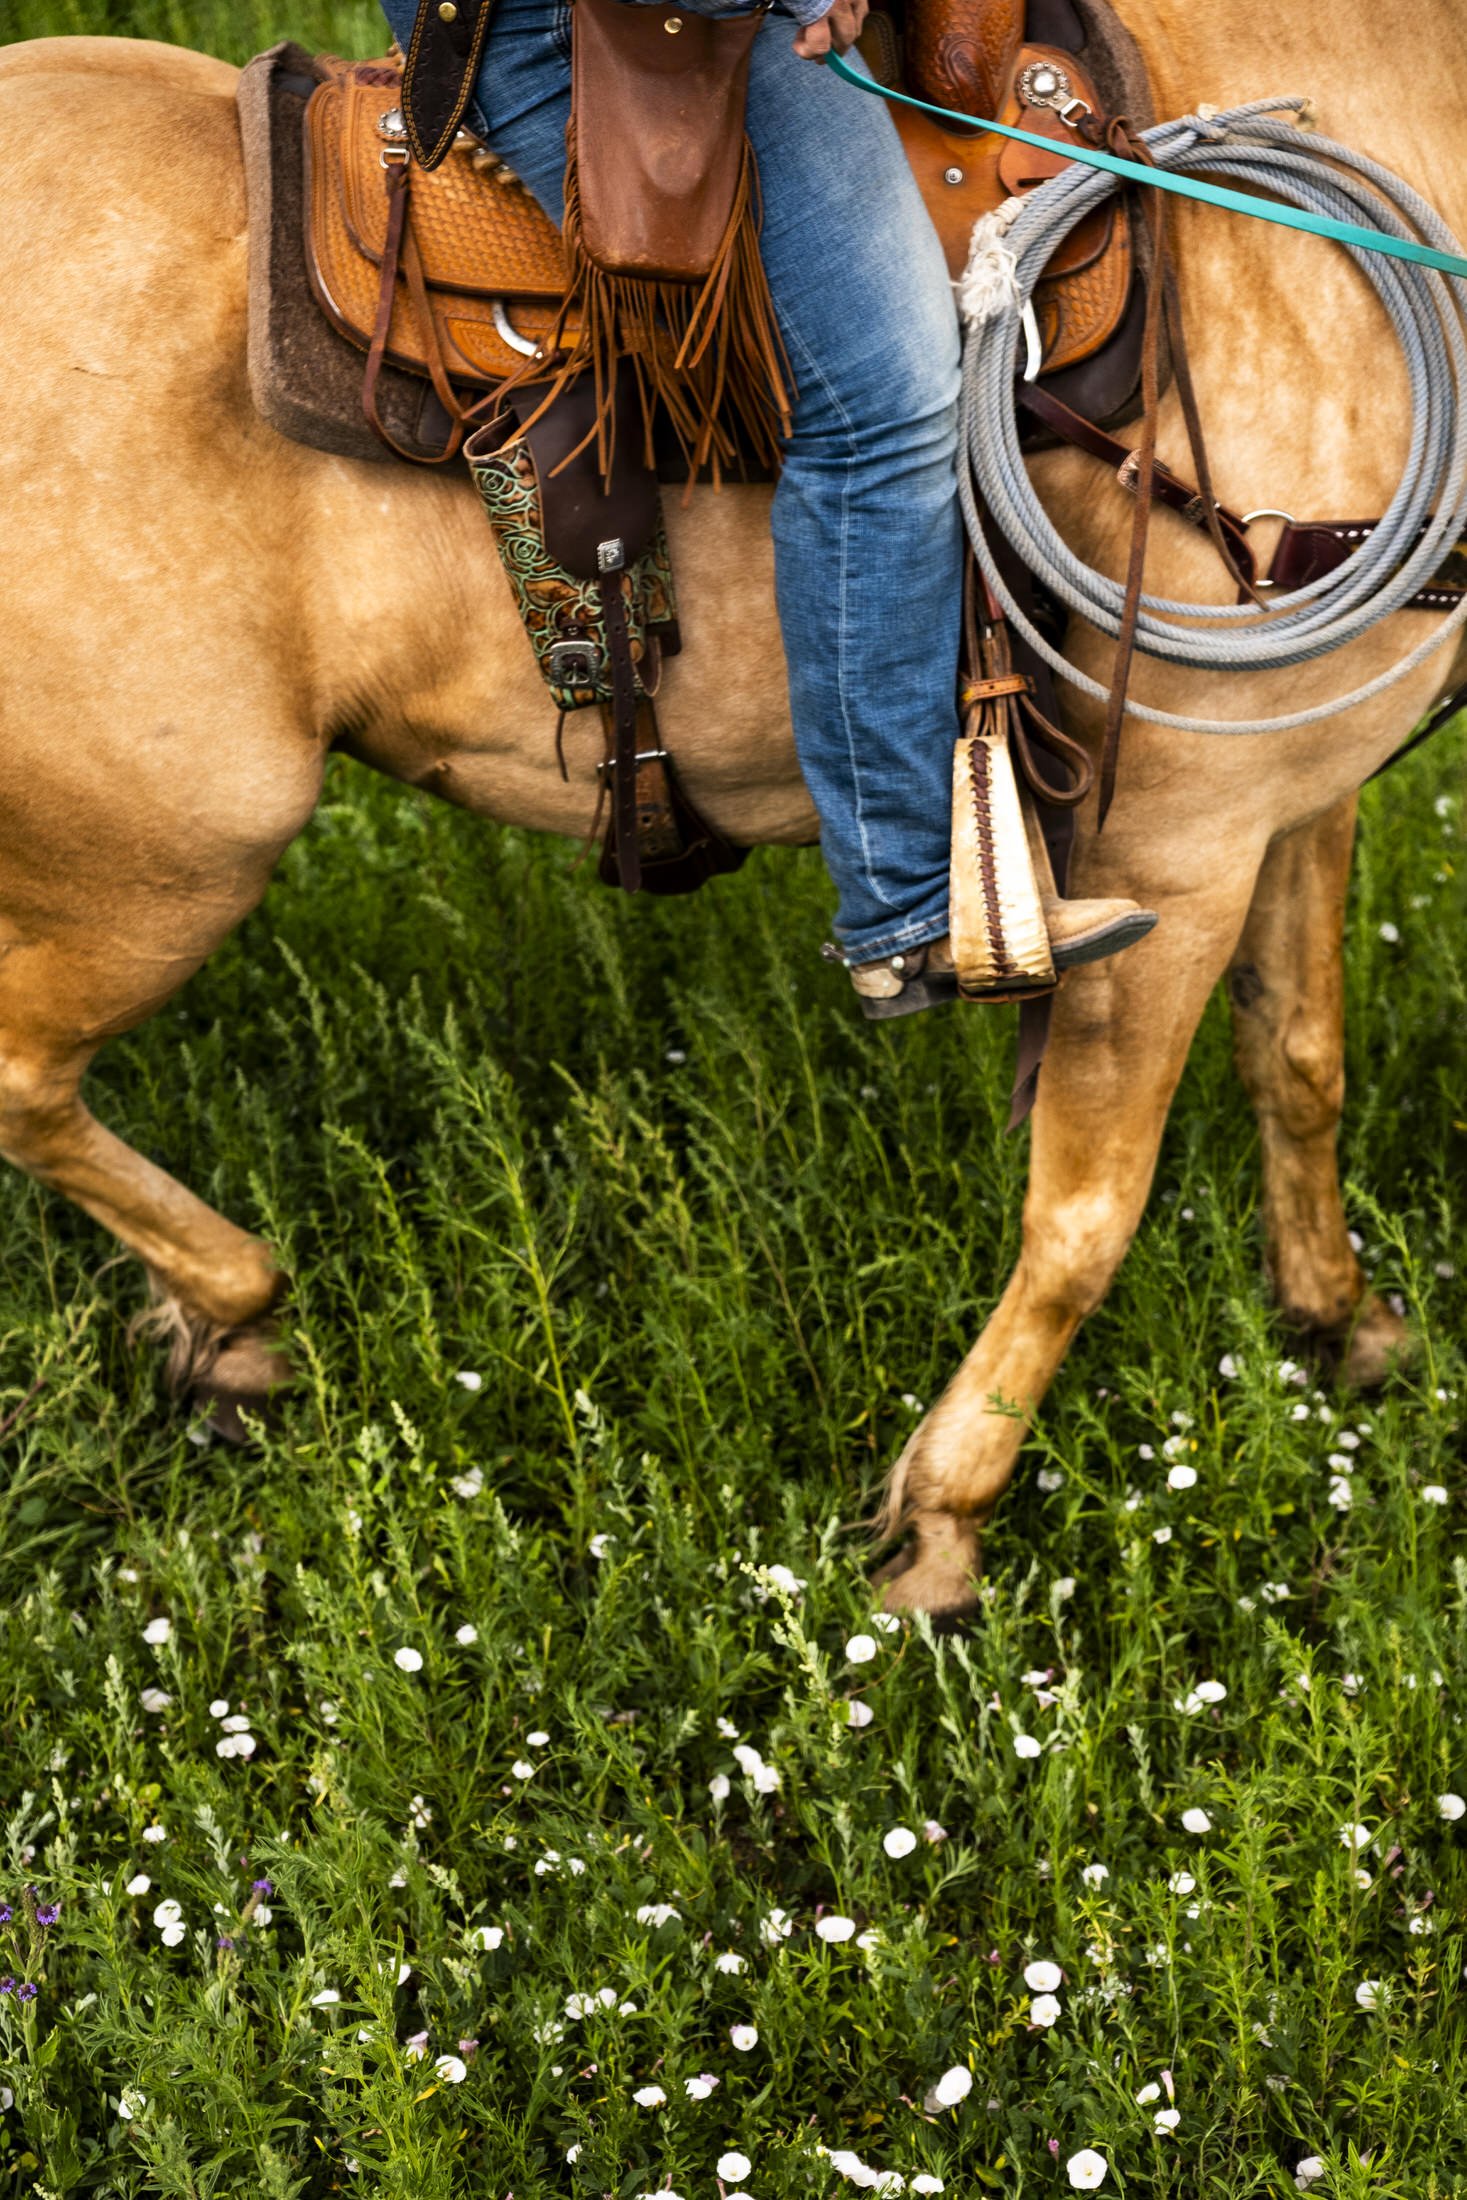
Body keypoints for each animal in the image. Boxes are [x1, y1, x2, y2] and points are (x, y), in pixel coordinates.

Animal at [2, 2, 1462, 1616]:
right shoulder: (1178, 849)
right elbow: (1086, 1214)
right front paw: (942, 1522)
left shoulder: (1291, 798)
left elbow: (1299, 1060)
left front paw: (1337, 1321)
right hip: (170, 862)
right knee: (23, 1077)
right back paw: (235, 1313)